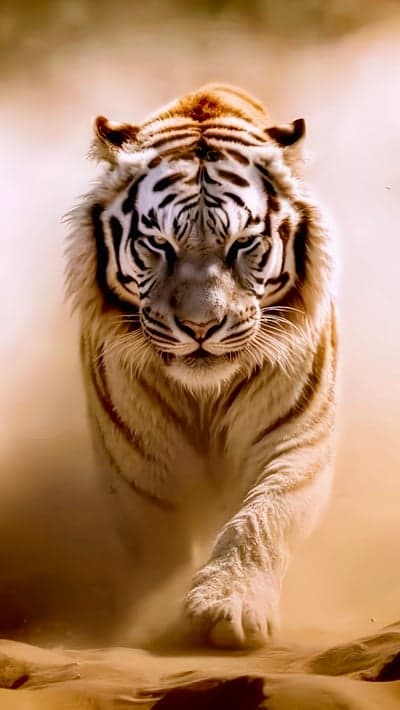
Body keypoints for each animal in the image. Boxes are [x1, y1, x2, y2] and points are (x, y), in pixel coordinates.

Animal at [66, 83, 337, 649]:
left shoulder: (297, 438)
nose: (200, 326)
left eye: (243, 244)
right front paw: (146, 618)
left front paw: (227, 607)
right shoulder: (140, 467)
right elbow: (161, 550)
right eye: (158, 244)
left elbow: (262, 517)